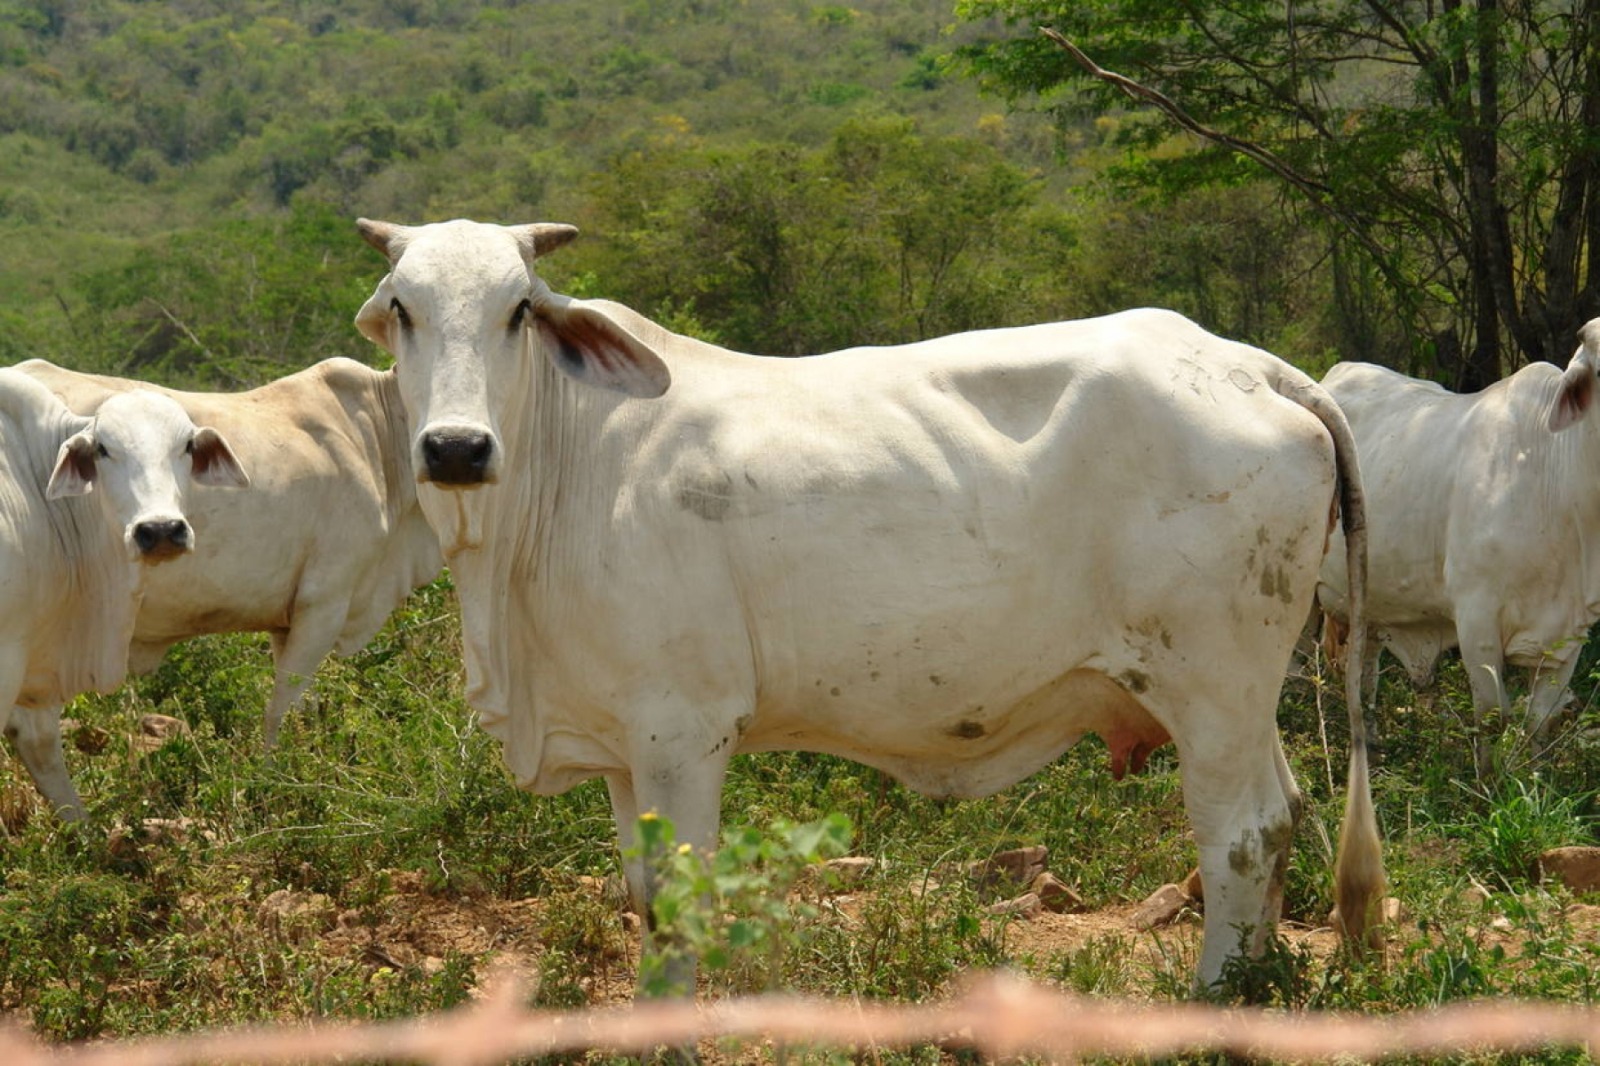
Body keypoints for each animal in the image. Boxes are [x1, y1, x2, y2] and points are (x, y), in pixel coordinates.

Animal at [356, 216, 1382, 985]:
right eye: (404, 308)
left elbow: (681, 903)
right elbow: (643, 897)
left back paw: (1215, 994)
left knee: (1241, 832)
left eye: (519, 310)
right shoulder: (618, 744)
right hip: (1242, 698)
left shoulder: (683, 730)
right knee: (1284, 816)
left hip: (1212, 686)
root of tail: (1255, 368)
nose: (456, 448)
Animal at [1318, 315, 1600, 755]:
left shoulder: (1568, 639)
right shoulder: (1477, 621)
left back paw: (1372, 740)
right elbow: (1492, 720)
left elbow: (1538, 726)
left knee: (1365, 665)